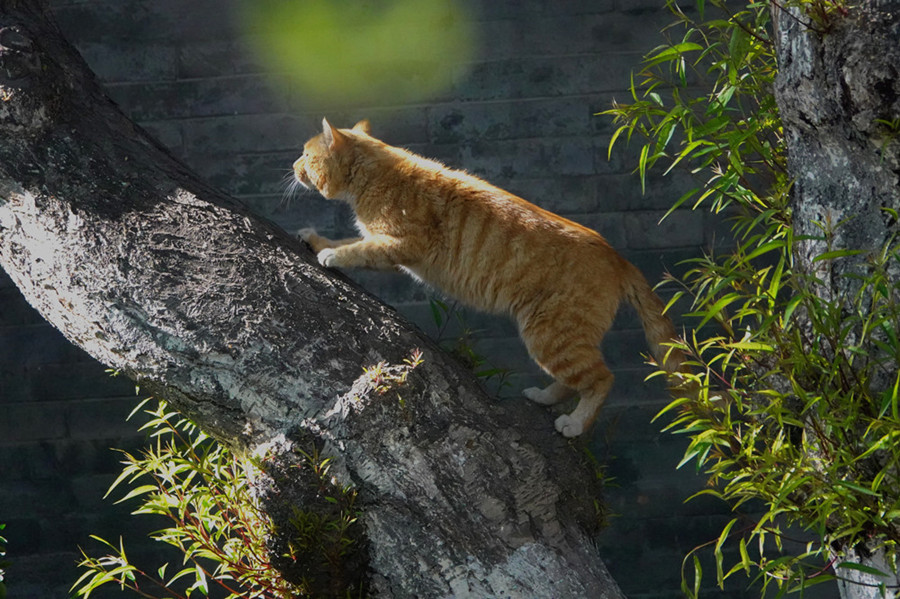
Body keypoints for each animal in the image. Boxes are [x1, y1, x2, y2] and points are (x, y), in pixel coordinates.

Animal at [296, 118, 684, 436]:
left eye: (306, 155)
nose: (294, 165)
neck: (377, 174)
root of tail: (617, 256)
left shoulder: (398, 246)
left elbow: (356, 249)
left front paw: (330, 255)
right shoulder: (387, 245)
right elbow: (348, 240)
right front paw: (317, 240)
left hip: (550, 335)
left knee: (601, 379)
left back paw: (575, 423)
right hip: (556, 340)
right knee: (573, 379)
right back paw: (544, 397)